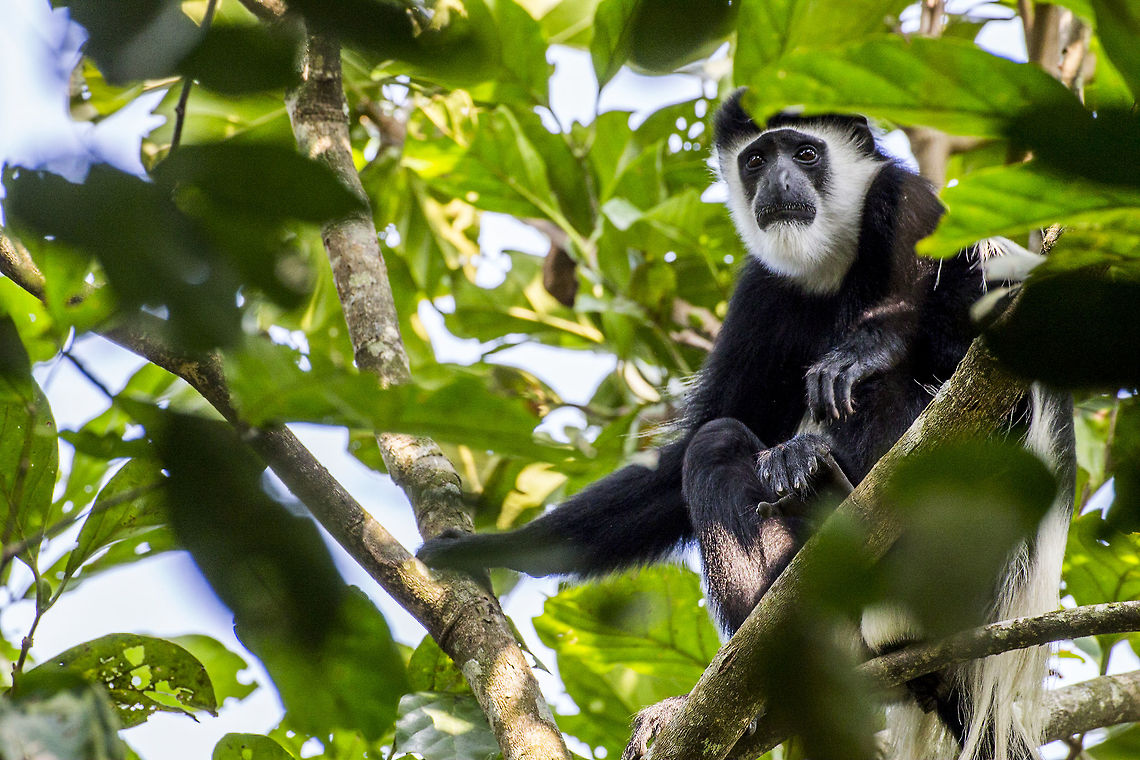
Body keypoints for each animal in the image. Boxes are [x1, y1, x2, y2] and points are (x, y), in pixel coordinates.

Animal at [419, 91, 1073, 760]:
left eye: (805, 153)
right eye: (757, 159)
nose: (780, 182)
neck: (835, 264)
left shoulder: (910, 205)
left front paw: (868, 349)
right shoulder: (763, 292)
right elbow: (694, 445)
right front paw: (488, 548)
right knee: (719, 443)